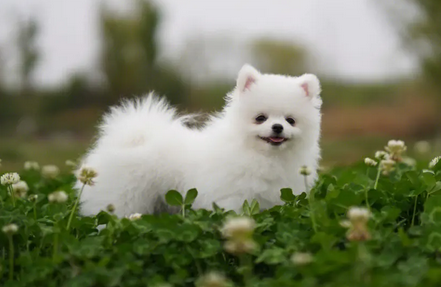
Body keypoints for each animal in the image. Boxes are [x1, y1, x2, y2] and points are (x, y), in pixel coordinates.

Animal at [77, 64, 322, 217]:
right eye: (260, 118)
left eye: (290, 120)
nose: (278, 127)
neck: (262, 156)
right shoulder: (232, 198)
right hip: (122, 198)